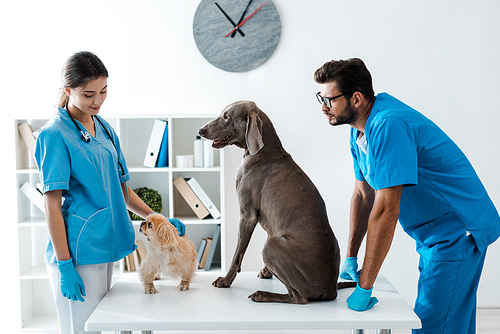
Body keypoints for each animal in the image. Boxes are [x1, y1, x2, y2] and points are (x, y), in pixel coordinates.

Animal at [199, 100, 356, 304]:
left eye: (227, 116)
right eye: (221, 113)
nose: (201, 130)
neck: (264, 150)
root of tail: (330, 290)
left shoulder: (247, 215)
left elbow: (237, 255)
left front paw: (225, 281)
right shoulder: (268, 221)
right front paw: (266, 272)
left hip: (271, 246)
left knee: (299, 298)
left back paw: (262, 294)